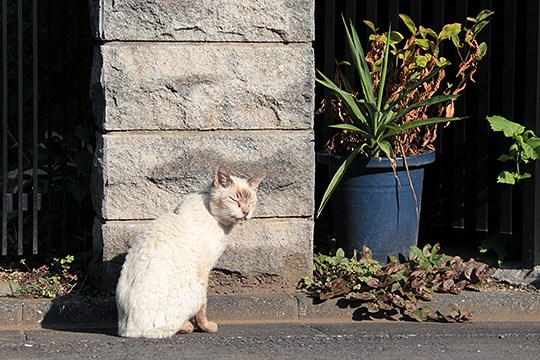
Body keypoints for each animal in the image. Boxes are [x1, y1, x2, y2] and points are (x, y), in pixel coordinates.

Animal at [116, 166, 264, 338]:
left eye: (251, 202)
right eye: (234, 200)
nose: (246, 212)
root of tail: (130, 331)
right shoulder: (204, 269)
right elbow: (202, 307)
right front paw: (206, 327)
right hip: (196, 284)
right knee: (171, 327)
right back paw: (187, 326)